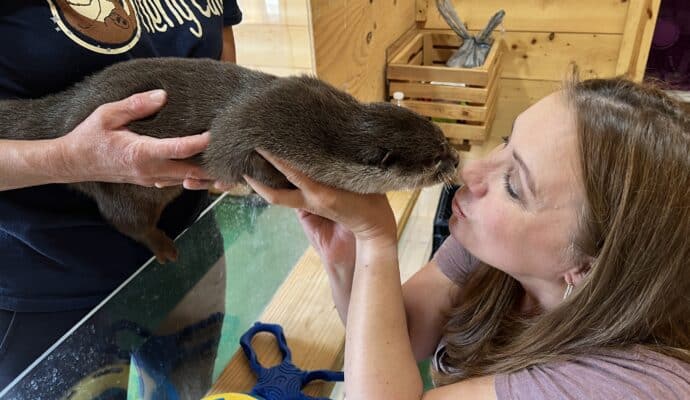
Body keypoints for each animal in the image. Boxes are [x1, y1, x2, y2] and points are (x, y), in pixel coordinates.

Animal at [0, 57, 456, 260]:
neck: (320, 133)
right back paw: (164, 248)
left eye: (443, 138)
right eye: (435, 159)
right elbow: (231, 154)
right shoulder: (252, 130)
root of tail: (64, 110)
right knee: (124, 221)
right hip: (115, 181)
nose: (455, 161)